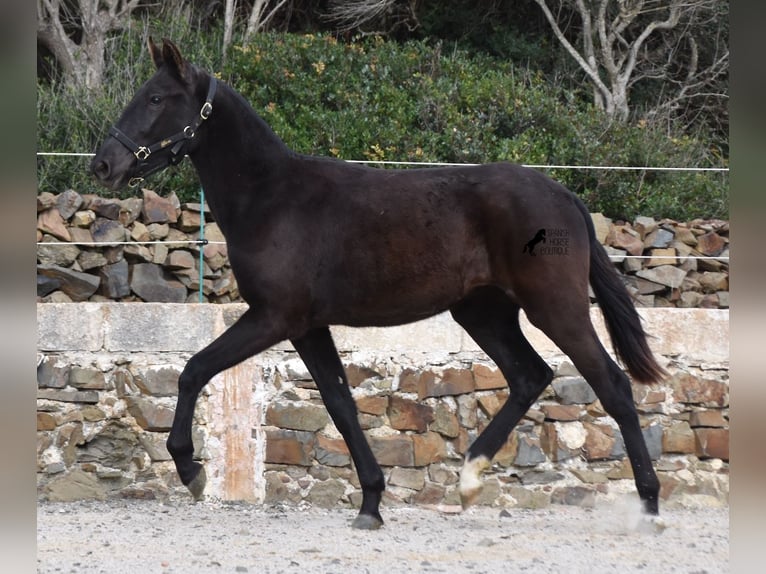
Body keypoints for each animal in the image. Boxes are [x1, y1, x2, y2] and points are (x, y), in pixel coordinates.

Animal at [88, 38, 664, 532]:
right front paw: (370, 502)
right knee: (530, 375)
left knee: (612, 385)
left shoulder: (274, 316)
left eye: (156, 97)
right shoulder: (307, 326)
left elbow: (194, 370)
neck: (272, 198)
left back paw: (650, 507)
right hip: (483, 312)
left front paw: (191, 469)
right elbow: (340, 404)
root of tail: (564, 195)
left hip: (554, 307)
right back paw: (469, 480)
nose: (104, 164)